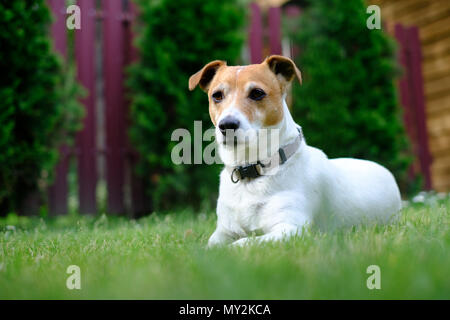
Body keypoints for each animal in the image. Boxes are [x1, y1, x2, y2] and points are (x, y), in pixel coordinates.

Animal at [189, 55, 400, 246]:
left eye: (257, 93)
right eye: (217, 95)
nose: (227, 125)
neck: (253, 172)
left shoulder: (290, 229)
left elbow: (243, 243)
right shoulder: (224, 231)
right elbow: (210, 245)